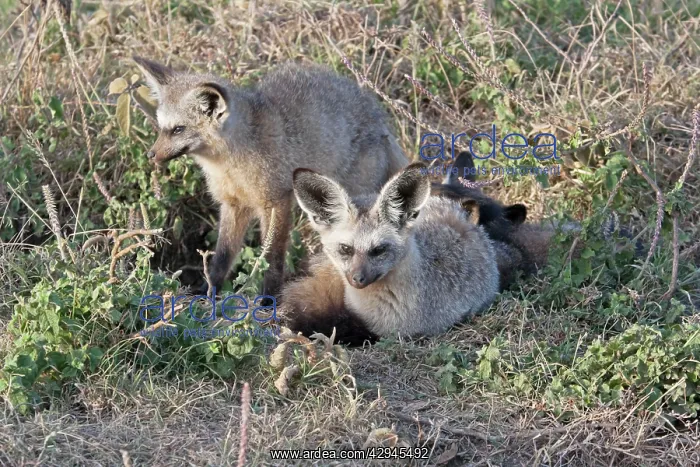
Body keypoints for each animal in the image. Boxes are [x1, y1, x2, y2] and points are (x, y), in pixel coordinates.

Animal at [132, 57, 408, 298]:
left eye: (178, 129)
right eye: (162, 129)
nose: (150, 155)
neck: (232, 164)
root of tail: (380, 118)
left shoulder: (277, 202)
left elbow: (271, 257)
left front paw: (268, 298)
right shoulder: (233, 204)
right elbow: (222, 256)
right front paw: (208, 291)